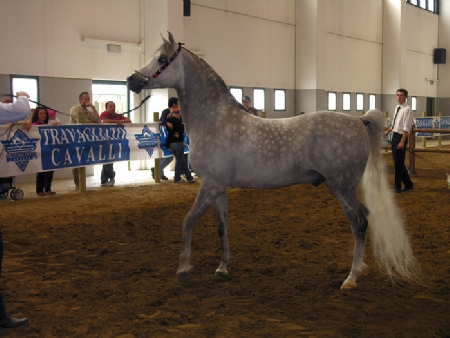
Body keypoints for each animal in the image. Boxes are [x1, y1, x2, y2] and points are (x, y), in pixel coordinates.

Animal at [127, 33, 418, 290]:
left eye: (162, 58)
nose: (132, 80)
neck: (214, 120)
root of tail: (359, 121)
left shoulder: (210, 185)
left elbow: (188, 221)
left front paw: (184, 269)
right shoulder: (218, 187)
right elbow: (222, 226)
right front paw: (222, 268)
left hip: (342, 187)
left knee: (359, 224)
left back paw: (351, 278)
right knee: (365, 218)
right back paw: (361, 269)